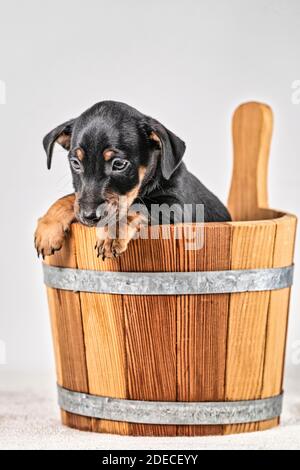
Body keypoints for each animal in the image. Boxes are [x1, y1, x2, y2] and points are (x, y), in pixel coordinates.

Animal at [35, 100, 232, 258]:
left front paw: (111, 232)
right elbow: (70, 198)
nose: (90, 216)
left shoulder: (177, 206)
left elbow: (137, 207)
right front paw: (48, 226)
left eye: (119, 164)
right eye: (75, 163)